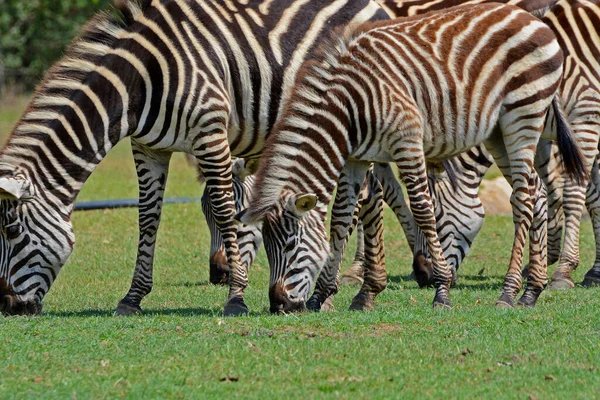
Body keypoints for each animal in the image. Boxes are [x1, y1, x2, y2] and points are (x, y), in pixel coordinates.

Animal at [0, 0, 390, 318]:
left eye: (12, 231)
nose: (6, 305)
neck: (141, 82)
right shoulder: (148, 148)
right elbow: (148, 218)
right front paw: (132, 298)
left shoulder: (211, 134)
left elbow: (225, 209)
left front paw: (236, 297)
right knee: (366, 195)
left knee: (367, 198)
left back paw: (356, 292)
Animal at [237, 3, 584, 312]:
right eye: (265, 245)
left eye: (290, 245)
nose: (278, 305)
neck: (349, 106)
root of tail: (529, 16)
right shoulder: (355, 159)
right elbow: (341, 218)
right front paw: (321, 296)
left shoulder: (407, 141)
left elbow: (422, 209)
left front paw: (441, 289)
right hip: (499, 132)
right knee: (536, 192)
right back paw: (532, 291)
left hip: (523, 115)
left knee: (522, 198)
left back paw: (509, 293)